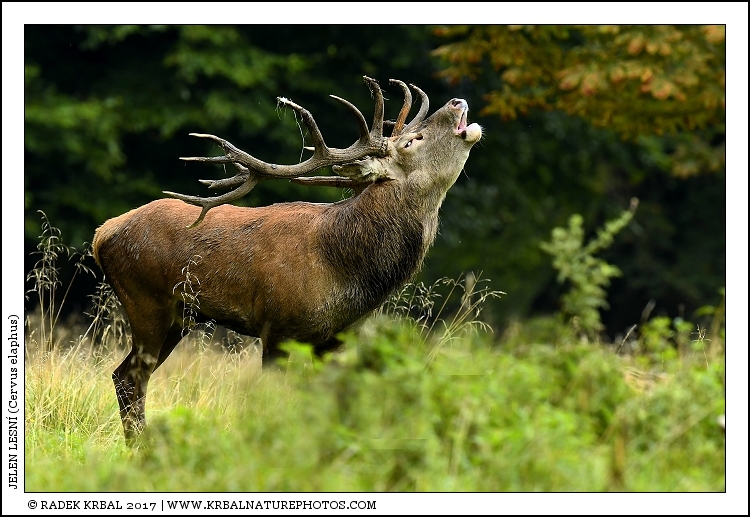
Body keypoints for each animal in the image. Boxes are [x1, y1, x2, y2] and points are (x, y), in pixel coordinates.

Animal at [92, 76, 483, 440]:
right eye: (412, 141)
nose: (457, 101)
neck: (344, 268)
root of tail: (103, 233)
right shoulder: (278, 327)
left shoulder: (336, 340)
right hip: (147, 302)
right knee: (130, 377)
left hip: (179, 317)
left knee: (125, 375)